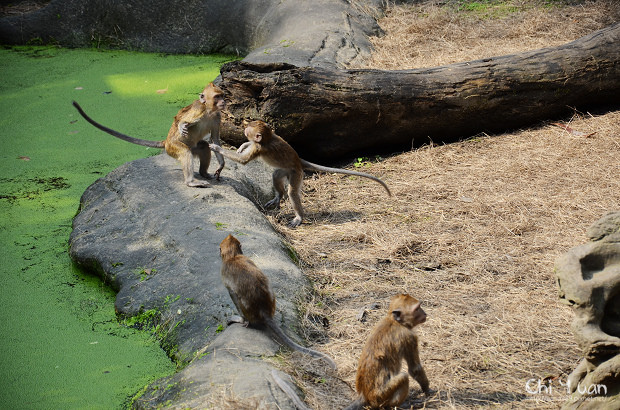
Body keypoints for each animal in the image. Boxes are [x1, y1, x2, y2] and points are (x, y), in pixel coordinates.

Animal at [72, 82, 226, 188]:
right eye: (217, 96)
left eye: (222, 95)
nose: (224, 101)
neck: (209, 111)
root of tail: (166, 141)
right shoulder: (199, 110)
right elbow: (181, 119)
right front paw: (182, 124)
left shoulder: (217, 116)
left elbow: (215, 140)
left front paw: (221, 165)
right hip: (172, 147)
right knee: (185, 152)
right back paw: (190, 182)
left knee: (203, 147)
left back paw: (203, 173)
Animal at [211, 120, 390, 227]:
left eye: (250, 127)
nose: (244, 128)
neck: (267, 138)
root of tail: (298, 161)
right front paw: (242, 146)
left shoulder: (259, 148)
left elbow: (243, 160)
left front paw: (216, 147)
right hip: (287, 170)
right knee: (276, 175)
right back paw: (278, 196)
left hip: (296, 173)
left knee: (292, 192)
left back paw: (299, 216)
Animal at [219, 234, 336, 368]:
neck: (233, 257)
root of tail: (264, 311)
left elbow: (232, 293)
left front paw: (241, 320)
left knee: (239, 300)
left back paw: (245, 321)